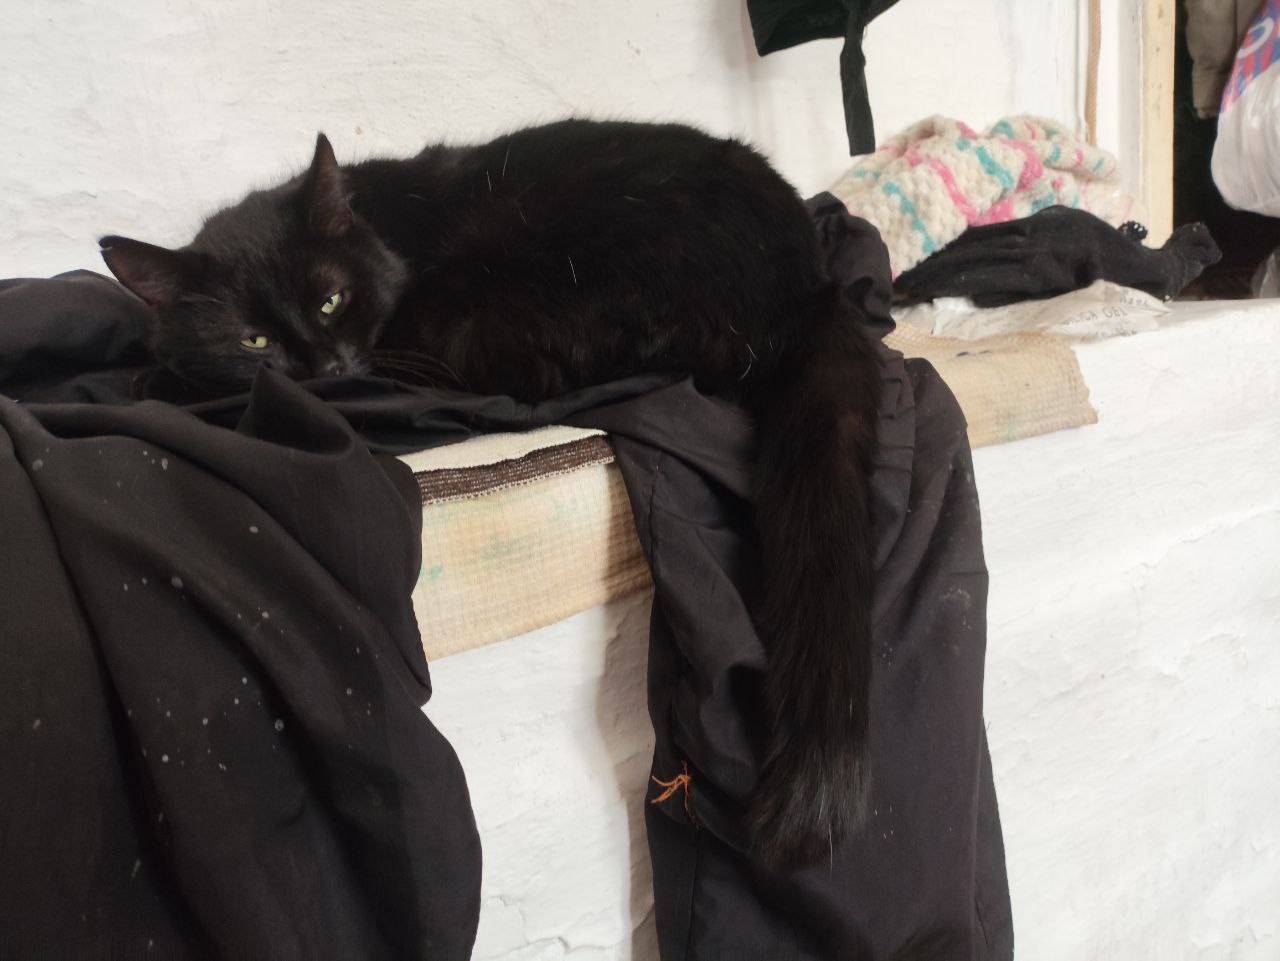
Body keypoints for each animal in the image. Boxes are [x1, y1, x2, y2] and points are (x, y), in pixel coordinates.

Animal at [99, 119, 882, 870]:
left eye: (331, 299)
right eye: (253, 340)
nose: (323, 368)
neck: (380, 224)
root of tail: (809, 284)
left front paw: (156, 379)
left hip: (489, 307)